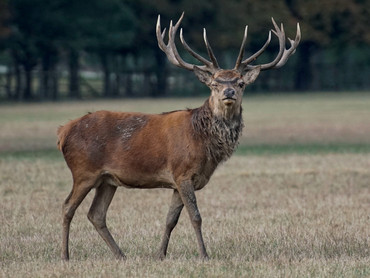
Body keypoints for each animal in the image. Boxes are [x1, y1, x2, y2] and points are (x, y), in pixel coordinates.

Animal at [58, 12, 300, 260]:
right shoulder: (183, 172)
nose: (229, 91)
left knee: (96, 214)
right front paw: (204, 254)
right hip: (84, 171)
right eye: (214, 83)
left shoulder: (177, 181)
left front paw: (160, 254)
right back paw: (66, 255)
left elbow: (170, 220)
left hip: (107, 179)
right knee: (67, 207)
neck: (204, 144)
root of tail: (64, 131)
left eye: (241, 83)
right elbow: (196, 217)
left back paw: (121, 255)